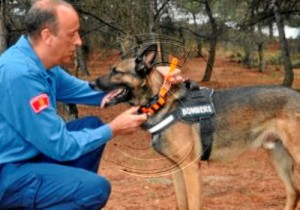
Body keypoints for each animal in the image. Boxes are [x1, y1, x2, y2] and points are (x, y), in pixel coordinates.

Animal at [91, 43, 300, 209]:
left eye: (116, 71)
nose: (91, 84)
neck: (161, 101)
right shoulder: (176, 169)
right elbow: (181, 204)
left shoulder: (190, 168)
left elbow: (193, 204)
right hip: (278, 156)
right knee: (293, 192)